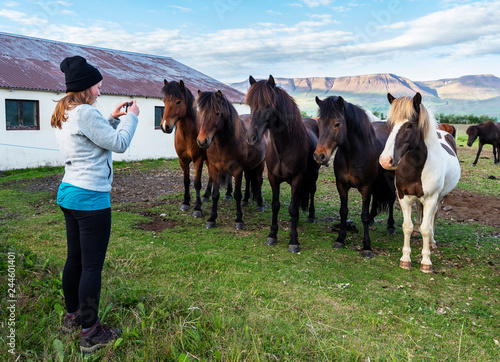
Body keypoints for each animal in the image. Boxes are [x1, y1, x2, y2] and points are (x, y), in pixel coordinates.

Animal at [195, 89, 268, 228]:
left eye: (217, 113)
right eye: (200, 112)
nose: (202, 141)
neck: (224, 145)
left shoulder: (237, 170)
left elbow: (237, 194)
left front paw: (239, 220)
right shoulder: (214, 169)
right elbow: (215, 194)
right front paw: (211, 219)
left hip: (260, 164)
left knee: (258, 180)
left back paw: (260, 204)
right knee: (249, 179)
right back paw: (247, 200)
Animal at [246, 75, 320, 253]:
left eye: (267, 105)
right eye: (251, 105)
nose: (251, 138)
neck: (284, 146)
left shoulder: (298, 178)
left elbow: (292, 209)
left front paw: (293, 241)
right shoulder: (273, 178)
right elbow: (276, 205)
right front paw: (272, 235)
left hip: (313, 175)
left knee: (312, 191)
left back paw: (311, 216)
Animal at [316, 95, 394, 258]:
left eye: (337, 124)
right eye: (319, 122)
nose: (319, 156)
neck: (353, 155)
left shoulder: (366, 187)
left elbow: (363, 215)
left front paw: (367, 247)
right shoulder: (341, 185)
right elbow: (343, 211)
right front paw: (340, 239)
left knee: (391, 199)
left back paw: (391, 226)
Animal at [380, 92, 458, 272]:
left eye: (410, 125)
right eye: (390, 123)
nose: (385, 160)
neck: (416, 167)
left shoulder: (430, 198)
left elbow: (426, 228)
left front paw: (426, 262)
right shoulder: (404, 197)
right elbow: (407, 227)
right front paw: (405, 259)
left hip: (438, 197)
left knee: (433, 217)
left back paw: (432, 242)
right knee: (419, 210)